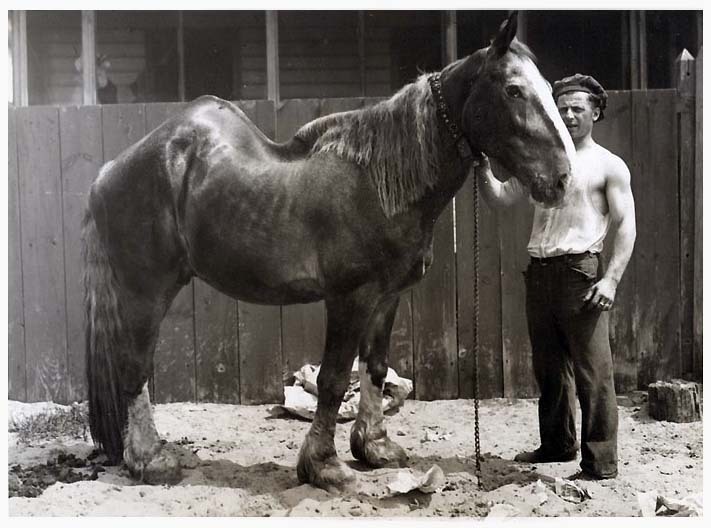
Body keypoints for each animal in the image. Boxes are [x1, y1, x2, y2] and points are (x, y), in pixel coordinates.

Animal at [83, 12, 576, 490]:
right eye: (514, 90)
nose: (562, 179)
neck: (379, 183)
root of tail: (108, 170)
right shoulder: (348, 298)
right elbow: (334, 378)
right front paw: (324, 466)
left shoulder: (386, 297)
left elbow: (374, 367)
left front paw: (374, 447)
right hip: (146, 292)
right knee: (134, 366)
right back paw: (150, 460)